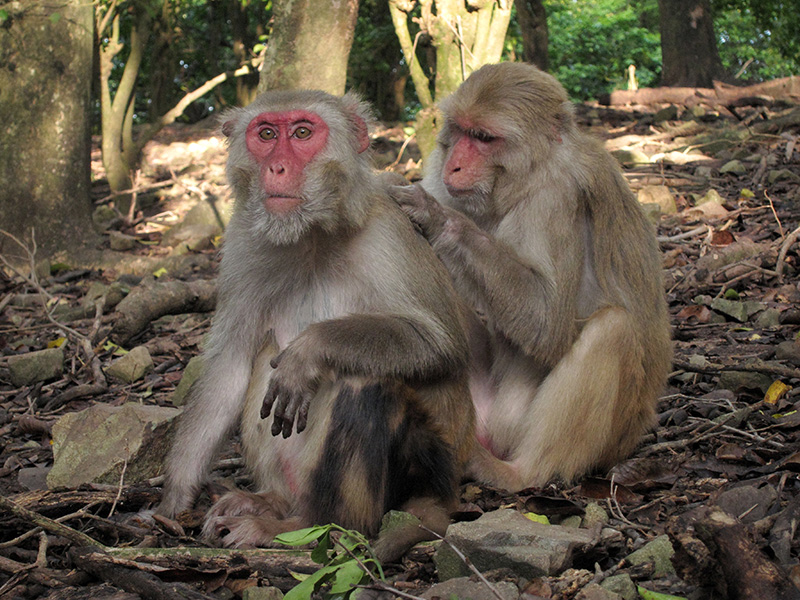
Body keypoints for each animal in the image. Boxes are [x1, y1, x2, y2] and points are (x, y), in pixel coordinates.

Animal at [159, 90, 478, 564]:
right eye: (266, 134)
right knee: (264, 357)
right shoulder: (242, 240)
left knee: (364, 380)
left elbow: (440, 346)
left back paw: (306, 527)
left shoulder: (388, 235)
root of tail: (447, 493)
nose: (277, 167)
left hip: (426, 467)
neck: (311, 235)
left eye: (303, 133)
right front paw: (174, 499)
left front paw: (308, 350)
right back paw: (269, 502)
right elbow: (231, 366)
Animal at [390, 63, 672, 490]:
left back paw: (520, 473)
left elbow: (548, 323)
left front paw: (437, 218)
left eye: (484, 138)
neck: (527, 175)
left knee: (613, 329)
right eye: (460, 130)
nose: (453, 164)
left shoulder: (555, 198)